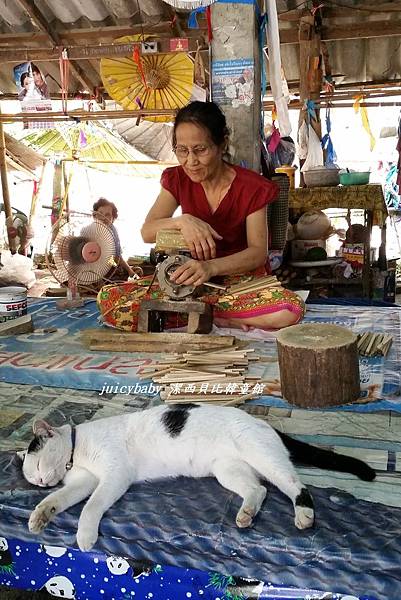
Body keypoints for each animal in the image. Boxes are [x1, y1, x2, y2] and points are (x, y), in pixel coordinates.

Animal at [18, 404, 376, 552]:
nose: (41, 482)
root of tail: (266, 425)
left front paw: (85, 536)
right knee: (258, 490)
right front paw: (40, 515)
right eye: (33, 480)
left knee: (296, 486)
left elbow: (91, 507)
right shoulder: (84, 481)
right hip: (227, 470)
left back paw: (304, 515)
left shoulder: (114, 476)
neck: (77, 453)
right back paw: (246, 514)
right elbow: (58, 500)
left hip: (265, 458)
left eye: (38, 467)